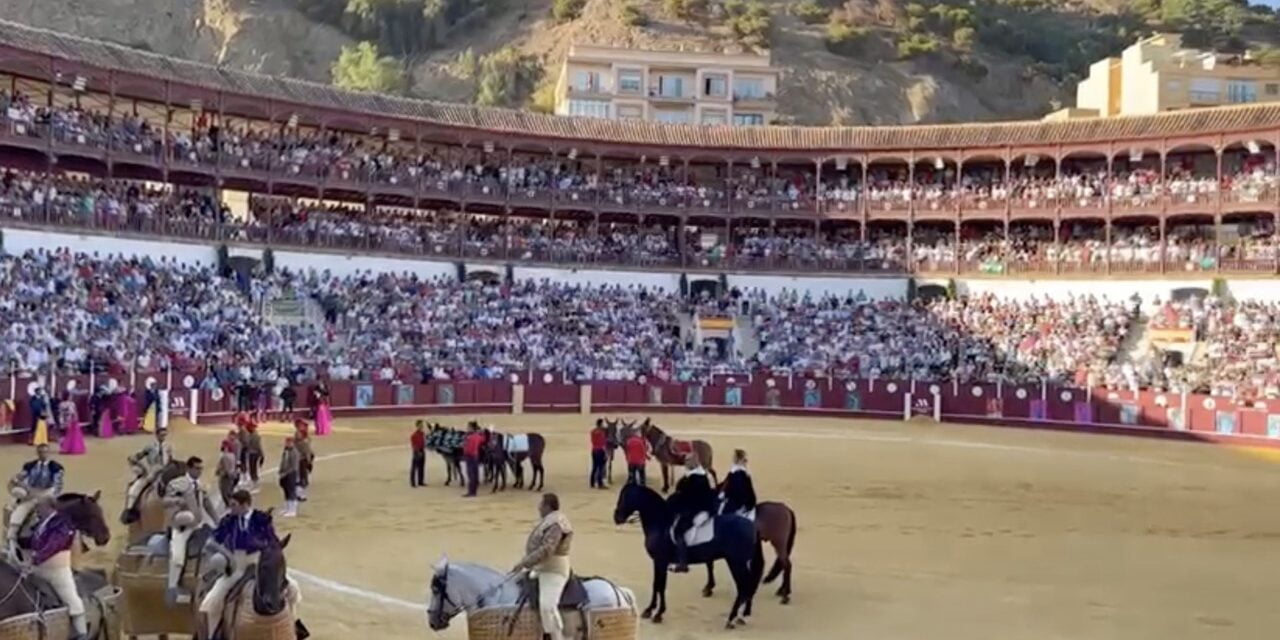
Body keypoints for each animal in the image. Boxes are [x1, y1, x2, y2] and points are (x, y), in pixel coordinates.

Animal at [611, 481, 757, 627]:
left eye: (625, 497)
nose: (617, 517)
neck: (660, 524)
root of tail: (751, 525)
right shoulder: (657, 562)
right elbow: (656, 584)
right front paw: (649, 610)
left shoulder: (661, 561)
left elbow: (661, 586)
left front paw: (658, 614)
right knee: (747, 587)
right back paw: (740, 616)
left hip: (736, 563)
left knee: (743, 587)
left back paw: (732, 618)